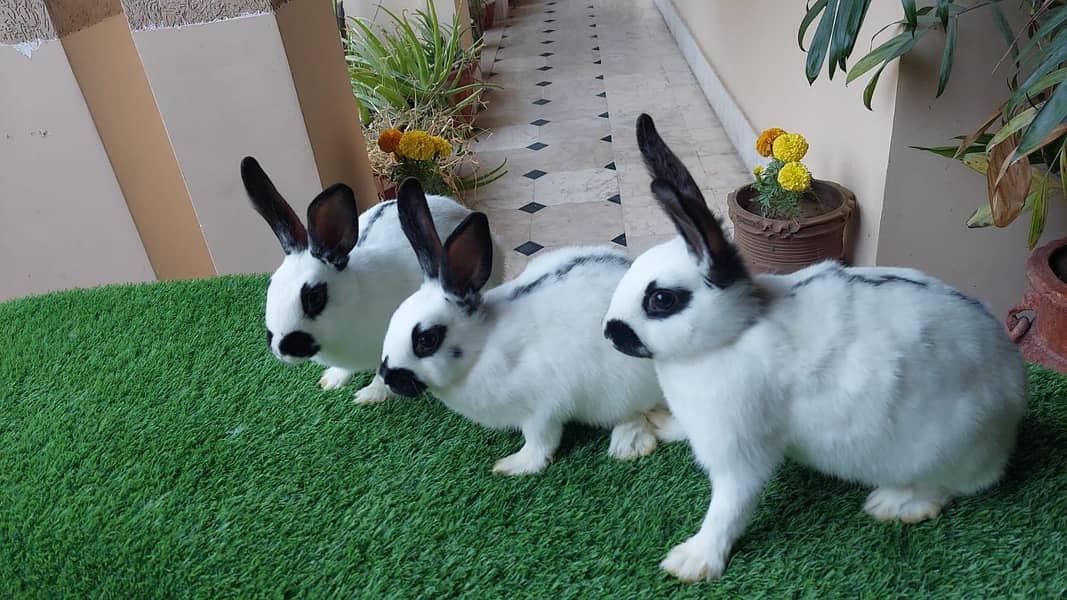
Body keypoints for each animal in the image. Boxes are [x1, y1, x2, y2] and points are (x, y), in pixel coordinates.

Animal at [241, 157, 504, 404]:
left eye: (314, 298)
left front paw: (369, 396)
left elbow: (383, 373)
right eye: (270, 287)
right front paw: (331, 381)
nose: (280, 349)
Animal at [377, 177, 682, 475]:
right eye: (392, 320)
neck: (481, 347)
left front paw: (513, 466)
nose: (388, 376)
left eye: (426, 339)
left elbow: (540, 441)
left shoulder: (543, 407)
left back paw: (628, 445)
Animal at [601, 114, 1028, 583]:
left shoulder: (740, 450)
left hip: (937, 449)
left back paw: (895, 504)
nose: (610, 333)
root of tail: (1014, 395)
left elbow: (730, 505)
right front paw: (662, 424)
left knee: (952, 488)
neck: (735, 331)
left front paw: (693, 560)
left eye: (661, 300)